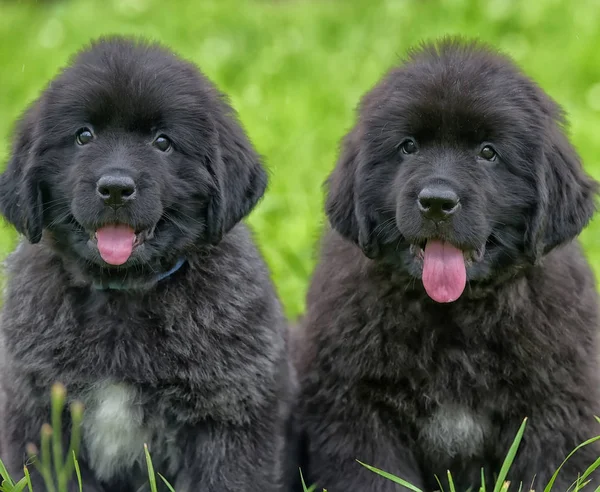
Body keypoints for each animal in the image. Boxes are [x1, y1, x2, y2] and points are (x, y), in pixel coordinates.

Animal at [0, 36, 296, 490]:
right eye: (83, 136)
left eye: (162, 142)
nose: (115, 188)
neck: (122, 296)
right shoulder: (38, 414)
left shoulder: (227, 415)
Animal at [296, 38, 600, 492]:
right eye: (408, 147)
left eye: (488, 153)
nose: (437, 201)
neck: (454, 317)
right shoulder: (358, 405)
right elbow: (375, 475)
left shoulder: (556, 403)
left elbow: (553, 471)